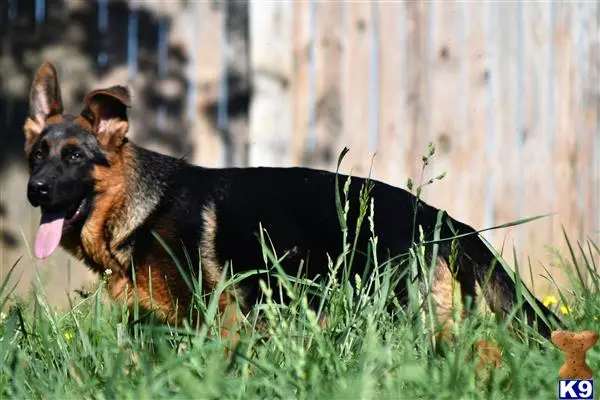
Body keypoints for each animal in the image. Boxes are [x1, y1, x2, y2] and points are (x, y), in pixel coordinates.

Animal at [23, 61, 564, 344]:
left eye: (75, 157)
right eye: (38, 156)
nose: (35, 190)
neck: (141, 206)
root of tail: (439, 216)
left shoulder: (218, 322)